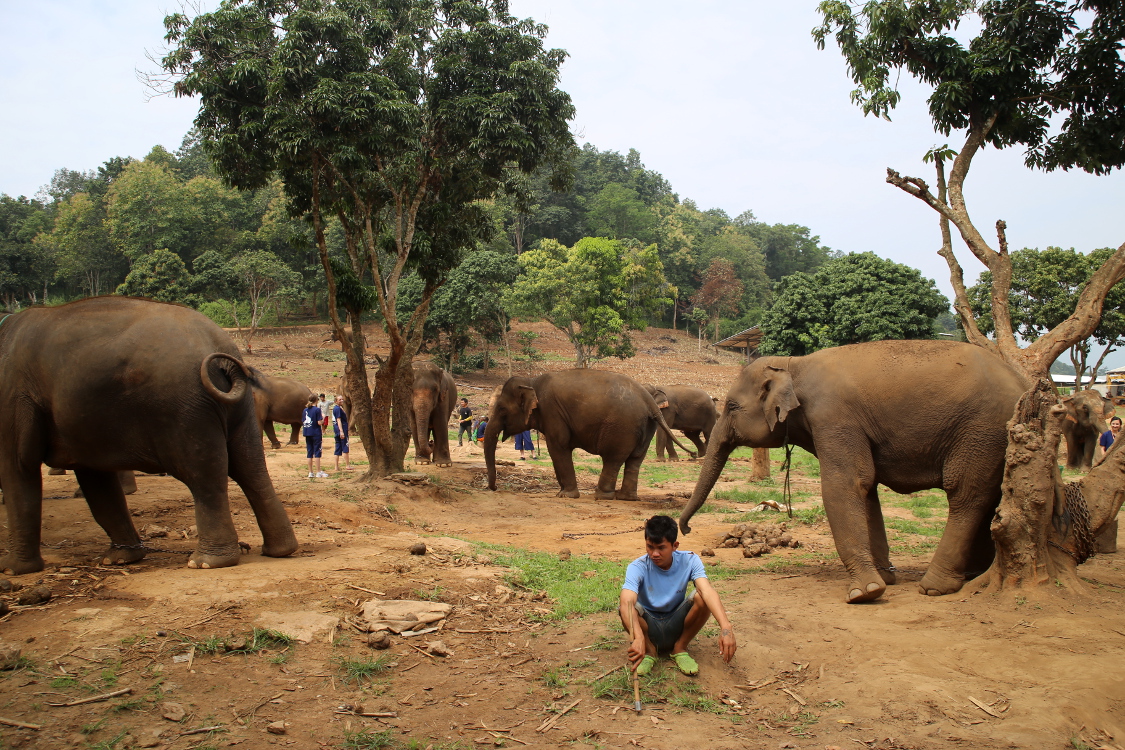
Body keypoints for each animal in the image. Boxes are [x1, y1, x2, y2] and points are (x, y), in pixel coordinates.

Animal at [0, 296, 299, 574]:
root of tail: (223, 353)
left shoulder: (13, 395)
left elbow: (18, 467)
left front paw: (12, 570)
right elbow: (96, 480)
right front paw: (120, 558)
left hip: (184, 408)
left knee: (204, 475)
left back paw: (206, 562)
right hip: (234, 406)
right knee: (250, 467)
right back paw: (279, 550)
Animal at [484, 370, 697, 500]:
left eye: (501, 409)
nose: (494, 488)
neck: (531, 381)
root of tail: (649, 400)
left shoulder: (553, 413)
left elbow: (558, 447)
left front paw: (565, 495)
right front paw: (562, 491)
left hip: (621, 428)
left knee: (613, 459)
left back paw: (601, 496)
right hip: (646, 426)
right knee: (635, 460)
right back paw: (626, 498)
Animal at [681, 340, 1028, 604]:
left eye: (731, 407)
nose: (685, 529)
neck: (793, 365)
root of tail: (1024, 384)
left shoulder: (833, 416)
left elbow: (846, 485)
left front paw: (865, 592)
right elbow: (868, 487)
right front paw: (885, 578)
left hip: (981, 431)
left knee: (966, 496)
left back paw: (935, 587)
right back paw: (972, 575)